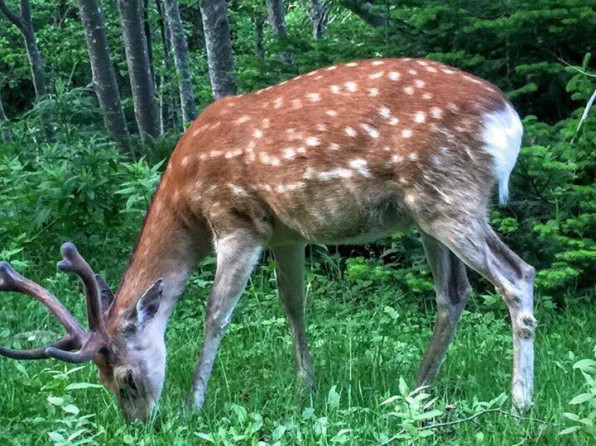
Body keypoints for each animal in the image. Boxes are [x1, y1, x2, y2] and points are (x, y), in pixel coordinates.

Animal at [0, 58, 536, 422]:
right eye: (105, 383)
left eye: (126, 380)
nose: (140, 423)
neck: (187, 205)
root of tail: (509, 118)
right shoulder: (286, 233)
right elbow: (292, 303)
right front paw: (305, 388)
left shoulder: (236, 222)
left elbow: (216, 314)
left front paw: (193, 403)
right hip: (426, 214)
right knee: (454, 293)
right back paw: (415, 391)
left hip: (449, 196)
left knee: (518, 275)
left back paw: (519, 404)